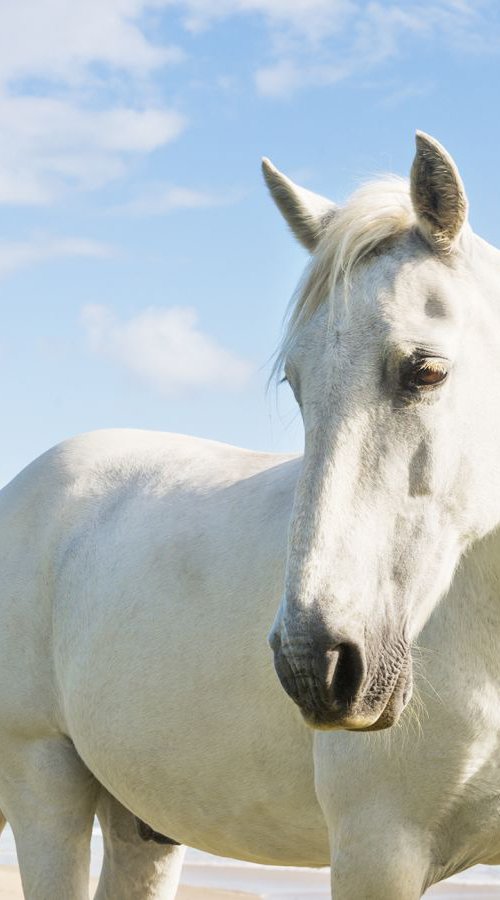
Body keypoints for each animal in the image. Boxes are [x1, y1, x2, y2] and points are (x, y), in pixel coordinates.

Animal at [0, 128, 500, 900]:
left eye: (427, 370)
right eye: (295, 383)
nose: (315, 662)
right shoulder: (377, 852)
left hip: (139, 825)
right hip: (41, 782)